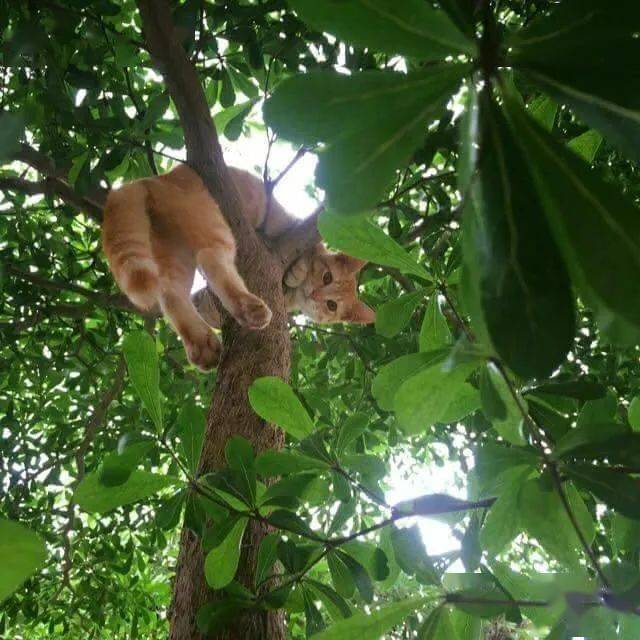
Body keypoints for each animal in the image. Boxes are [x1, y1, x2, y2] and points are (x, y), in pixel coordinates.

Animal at [101, 164, 376, 370]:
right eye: (327, 277)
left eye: (332, 306)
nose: (316, 295)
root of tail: (154, 178)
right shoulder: (292, 226)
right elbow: (310, 251)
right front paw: (298, 271)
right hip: (217, 227)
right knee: (212, 260)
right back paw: (248, 307)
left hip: (177, 257)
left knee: (172, 295)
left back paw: (203, 344)